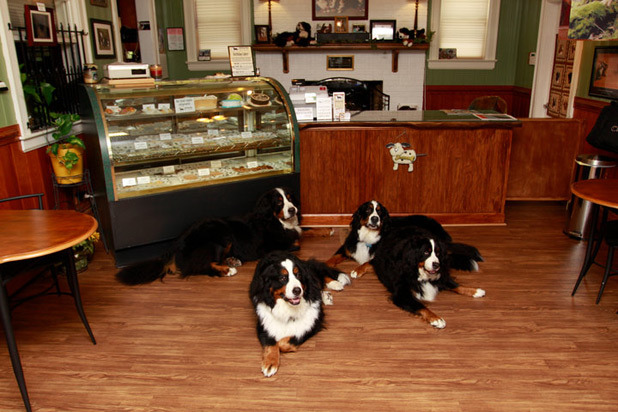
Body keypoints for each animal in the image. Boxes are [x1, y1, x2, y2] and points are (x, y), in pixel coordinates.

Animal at [116, 188, 304, 284]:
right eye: (278, 202)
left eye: (290, 198)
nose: (293, 209)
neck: (275, 220)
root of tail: (178, 241)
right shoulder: (272, 246)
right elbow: (295, 243)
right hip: (221, 235)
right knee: (201, 266)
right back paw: (227, 269)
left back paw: (232, 260)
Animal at [324, 200, 484, 278]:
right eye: (368, 210)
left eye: (380, 212)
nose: (375, 218)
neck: (369, 237)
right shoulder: (348, 247)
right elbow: (333, 257)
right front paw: (325, 264)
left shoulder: (382, 256)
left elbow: (367, 263)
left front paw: (357, 270)